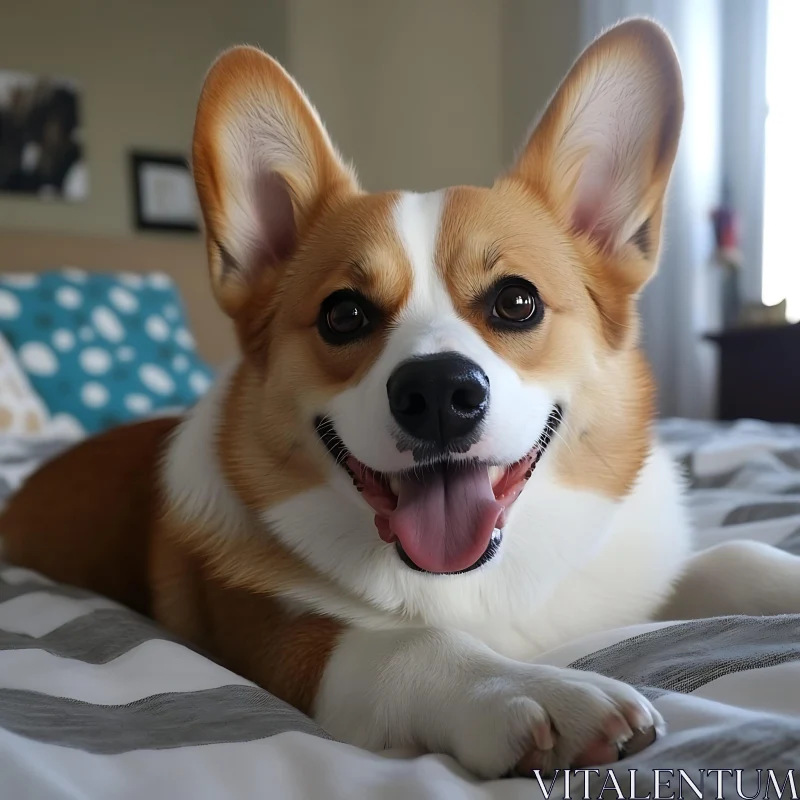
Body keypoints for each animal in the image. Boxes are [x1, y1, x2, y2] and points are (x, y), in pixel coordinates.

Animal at [6, 20, 800, 780]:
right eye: (343, 315)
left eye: (517, 301)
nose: (440, 393)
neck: (488, 582)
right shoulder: (285, 639)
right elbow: (412, 643)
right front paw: (535, 690)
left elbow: (733, 556)